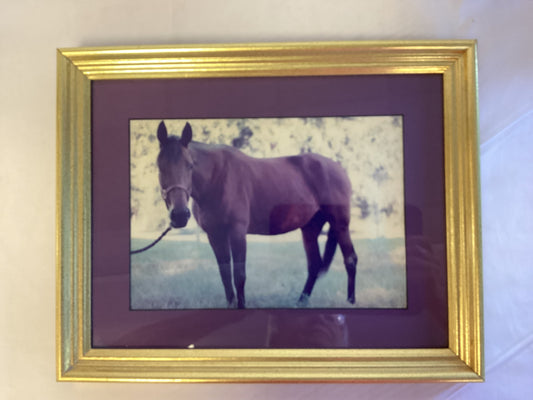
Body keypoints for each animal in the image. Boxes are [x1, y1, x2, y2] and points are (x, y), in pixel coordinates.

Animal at [157, 120, 358, 308]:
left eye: (190, 165)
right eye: (160, 167)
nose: (179, 214)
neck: (217, 179)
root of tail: (339, 168)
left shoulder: (237, 232)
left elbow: (239, 275)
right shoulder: (215, 235)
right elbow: (225, 274)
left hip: (340, 224)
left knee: (350, 259)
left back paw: (350, 301)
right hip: (310, 228)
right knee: (314, 265)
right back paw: (301, 301)